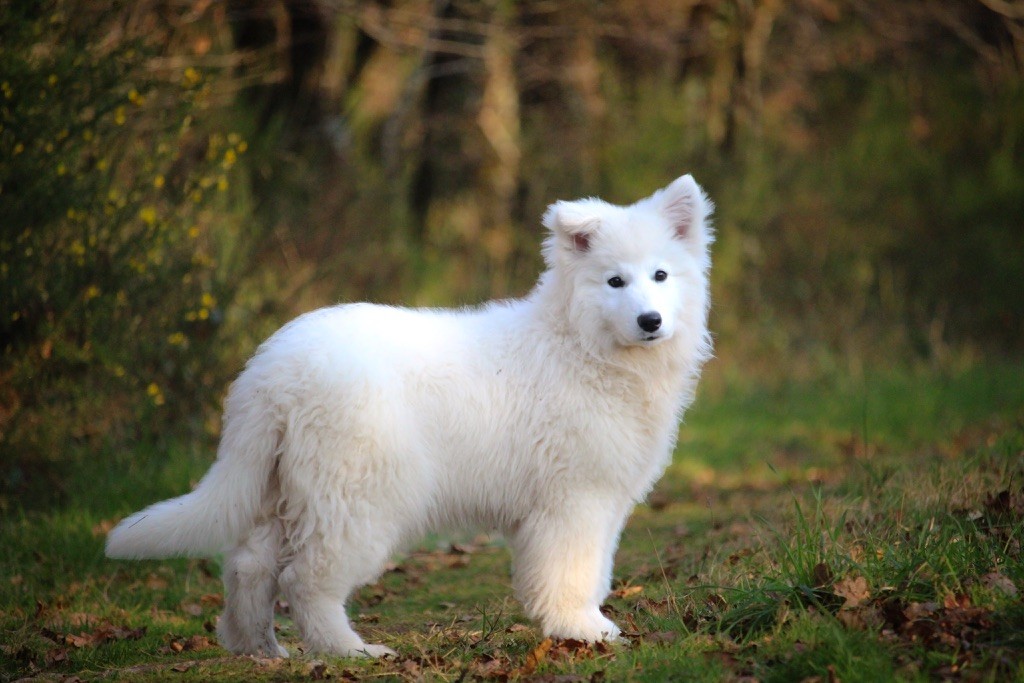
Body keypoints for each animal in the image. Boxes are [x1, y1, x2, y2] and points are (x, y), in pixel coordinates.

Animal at [103, 175, 712, 655]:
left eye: (661, 276)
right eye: (615, 281)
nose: (651, 321)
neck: (584, 347)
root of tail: (272, 373)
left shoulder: (600, 503)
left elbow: (593, 569)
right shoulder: (573, 500)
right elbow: (573, 573)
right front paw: (582, 631)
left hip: (285, 487)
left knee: (250, 565)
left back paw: (260, 649)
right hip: (357, 495)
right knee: (306, 579)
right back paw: (350, 650)